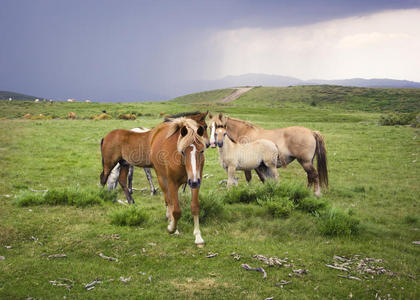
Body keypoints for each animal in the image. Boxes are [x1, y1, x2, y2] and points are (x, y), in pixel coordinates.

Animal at [149, 117, 207, 246]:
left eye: (201, 151)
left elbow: (195, 207)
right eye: (183, 152)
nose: (194, 182)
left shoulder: (196, 181)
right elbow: (176, 211)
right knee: (168, 201)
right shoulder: (172, 183)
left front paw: (198, 236)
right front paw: (171, 228)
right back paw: (171, 222)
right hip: (162, 179)